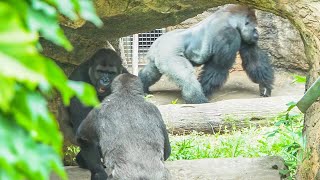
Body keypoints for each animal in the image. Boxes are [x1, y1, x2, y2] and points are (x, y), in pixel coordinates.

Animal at [139, 4, 274, 104]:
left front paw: (265, 86)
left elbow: (254, 61)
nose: (257, 34)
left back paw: (142, 85)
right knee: (186, 76)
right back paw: (197, 99)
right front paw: (204, 91)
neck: (231, 19)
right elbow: (218, 67)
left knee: (151, 72)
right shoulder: (229, 34)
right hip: (169, 53)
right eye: (254, 27)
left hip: (158, 55)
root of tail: (157, 43)